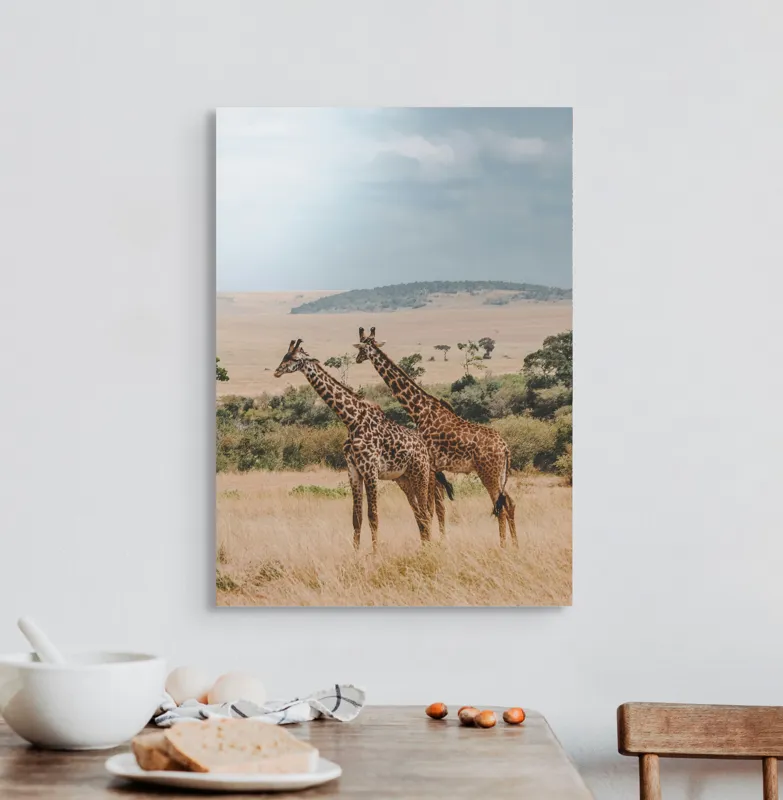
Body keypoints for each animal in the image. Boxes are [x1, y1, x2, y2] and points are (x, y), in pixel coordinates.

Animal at [274, 339, 452, 552]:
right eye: (284, 356)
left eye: (294, 358)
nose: (277, 371)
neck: (351, 420)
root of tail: (425, 448)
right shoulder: (353, 471)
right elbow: (356, 518)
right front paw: (356, 553)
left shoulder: (371, 470)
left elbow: (373, 516)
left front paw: (375, 554)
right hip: (404, 478)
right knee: (420, 512)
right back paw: (425, 546)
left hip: (422, 473)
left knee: (428, 511)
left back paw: (429, 547)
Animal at [354, 327, 518, 547]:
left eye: (362, 347)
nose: (357, 359)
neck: (419, 410)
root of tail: (505, 448)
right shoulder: (435, 468)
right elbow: (437, 507)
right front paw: (438, 541)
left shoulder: (430, 465)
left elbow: (430, 509)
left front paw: (431, 543)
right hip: (499, 474)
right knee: (510, 502)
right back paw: (515, 545)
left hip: (488, 473)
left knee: (498, 507)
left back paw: (502, 546)